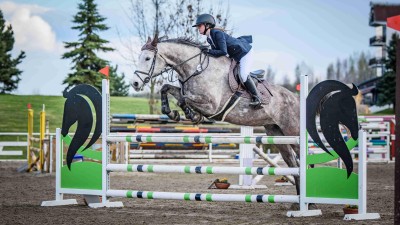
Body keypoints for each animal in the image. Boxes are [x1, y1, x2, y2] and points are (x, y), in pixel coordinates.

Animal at [131, 34, 300, 193]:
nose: (135, 83)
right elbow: (166, 88)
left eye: (147, 58)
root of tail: (296, 98)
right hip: (276, 134)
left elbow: (183, 100)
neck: (195, 68)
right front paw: (174, 114)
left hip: (292, 131)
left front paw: (192, 115)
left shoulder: (211, 105)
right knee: (293, 164)